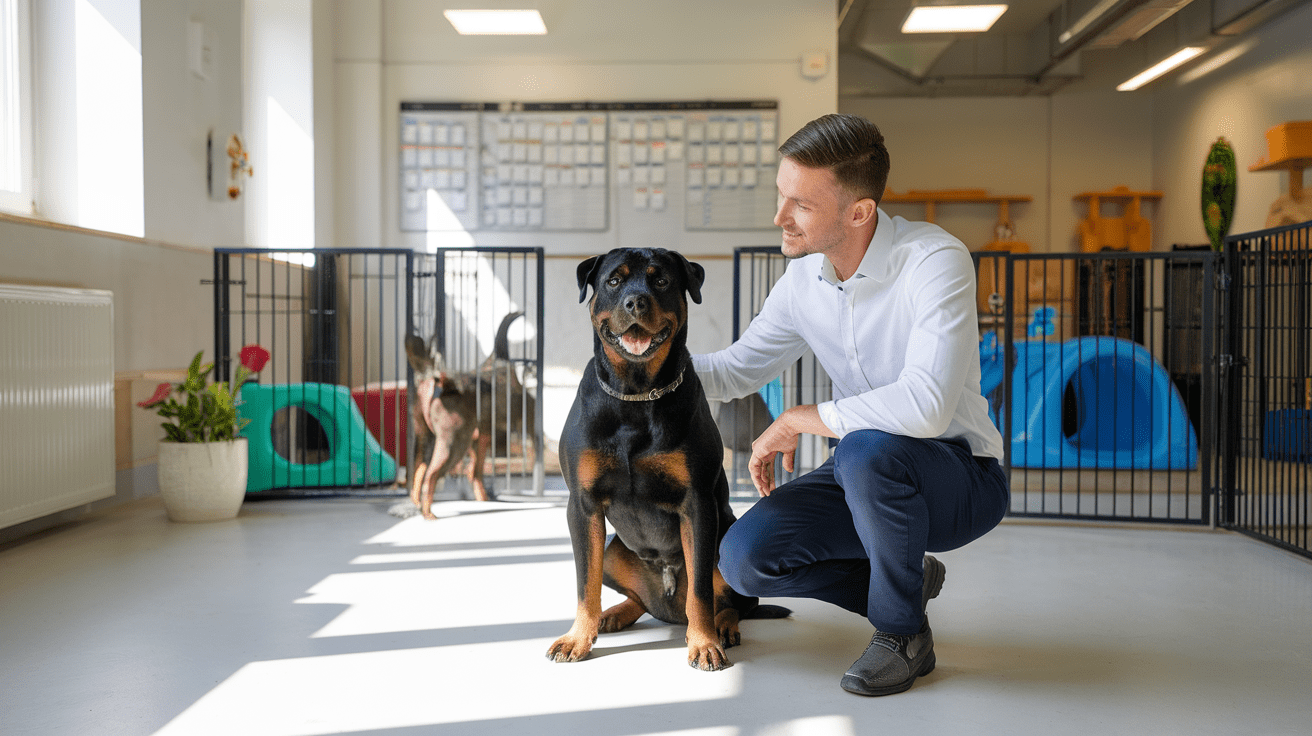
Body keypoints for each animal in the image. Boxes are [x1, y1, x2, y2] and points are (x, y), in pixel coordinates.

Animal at [406, 312, 535, 519]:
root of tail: (434, 380)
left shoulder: (480, 438)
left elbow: (475, 472)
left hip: (428, 439)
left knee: (421, 469)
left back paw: (418, 504)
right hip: (454, 444)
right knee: (431, 475)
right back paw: (428, 514)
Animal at [545, 247, 781, 671]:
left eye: (661, 281)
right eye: (614, 280)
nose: (636, 301)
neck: (636, 394)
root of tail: (666, 602)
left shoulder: (697, 504)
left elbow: (701, 590)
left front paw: (703, 643)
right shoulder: (583, 506)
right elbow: (585, 582)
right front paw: (577, 638)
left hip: (724, 537)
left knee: (736, 601)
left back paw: (723, 626)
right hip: (614, 551)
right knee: (635, 595)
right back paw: (613, 614)